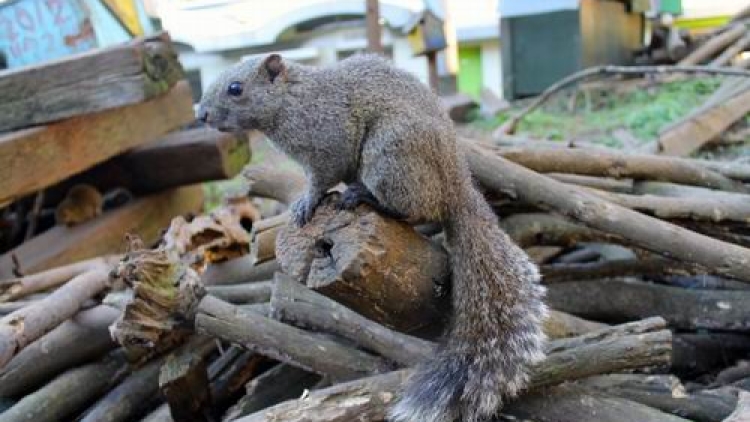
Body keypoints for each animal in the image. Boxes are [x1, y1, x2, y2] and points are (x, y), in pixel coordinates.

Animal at [198, 53, 547, 422]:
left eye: (236, 88)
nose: (201, 114)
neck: (293, 98)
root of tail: (457, 185)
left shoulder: (328, 141)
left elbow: (322, 178)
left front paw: (306, 202)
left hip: (390, 156)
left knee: (414, 209)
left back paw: (364, 197)